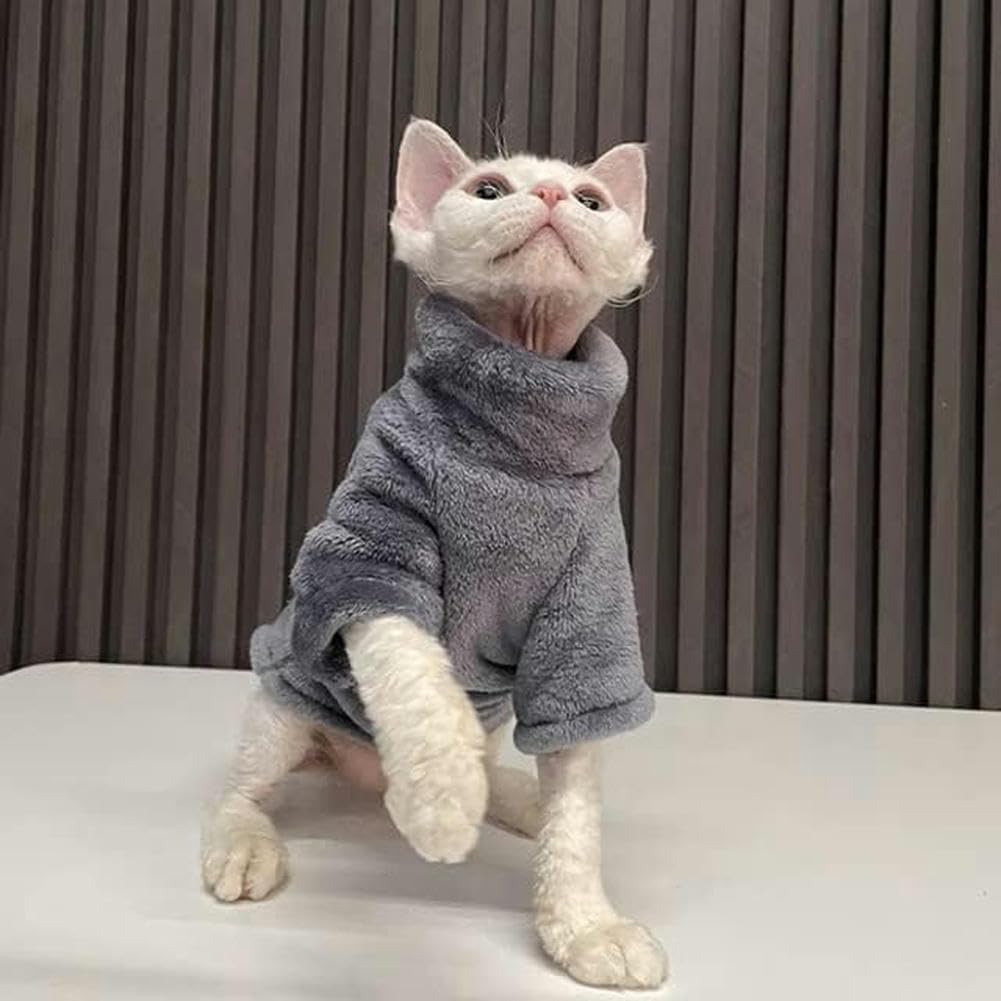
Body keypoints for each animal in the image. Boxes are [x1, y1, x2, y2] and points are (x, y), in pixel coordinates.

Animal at [201, 118, 667, 990]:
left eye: (592, 200)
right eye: (487, 189)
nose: (549, 194)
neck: (519, 444)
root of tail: (356, 770)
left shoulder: (587, 611)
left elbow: (576, 787)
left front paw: (586, 925)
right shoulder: (370, 546)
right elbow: (411, 670)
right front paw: (439, 800)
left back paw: (510, 796)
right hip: (282, 701)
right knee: (242, 785)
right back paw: (247, 840)